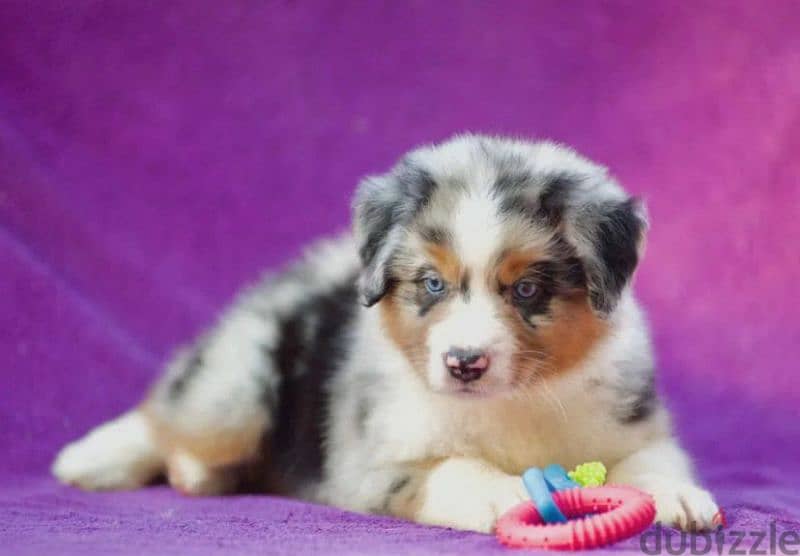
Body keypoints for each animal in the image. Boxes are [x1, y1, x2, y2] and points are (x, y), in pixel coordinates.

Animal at [54, 134, 720, 528]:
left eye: (527, 289)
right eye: (432, 284)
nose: (464, 363)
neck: (512, 402)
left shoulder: (633, 423)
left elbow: (651, 460)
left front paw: (676, 497)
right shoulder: (370, 461)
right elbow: (451, 466)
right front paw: (507, 493)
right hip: (237, 388)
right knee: (166, 417)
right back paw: (126, 462)